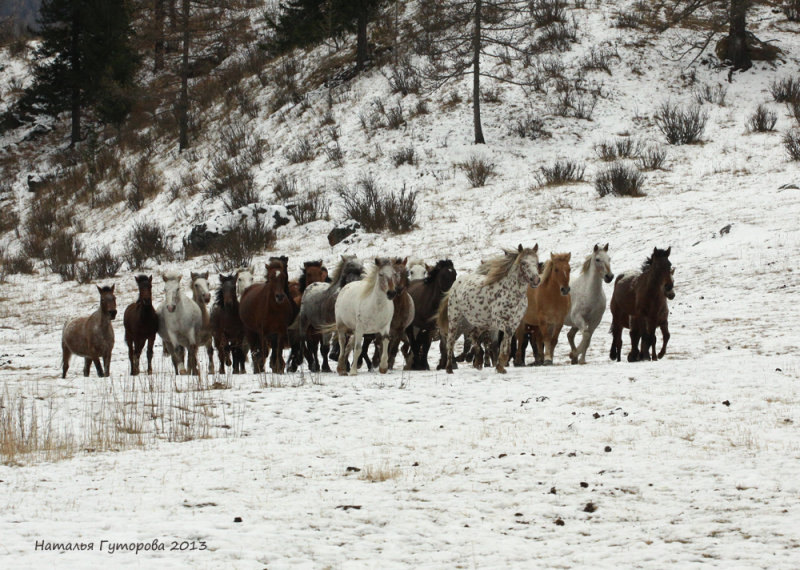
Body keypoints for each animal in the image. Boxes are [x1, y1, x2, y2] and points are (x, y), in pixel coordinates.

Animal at [438, 243, 544, 372]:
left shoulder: (514, 323)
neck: (511, 291)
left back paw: (478, 361)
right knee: (450, 341)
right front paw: (500, 365)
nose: (536, 280)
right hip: (455, 320)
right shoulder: (500, 321)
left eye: (536, 262)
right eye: (523, 262)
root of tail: (456, 283)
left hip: (479, 323)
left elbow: (503, 345)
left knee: (474, 336)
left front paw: (500, 366)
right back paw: (449, 368)